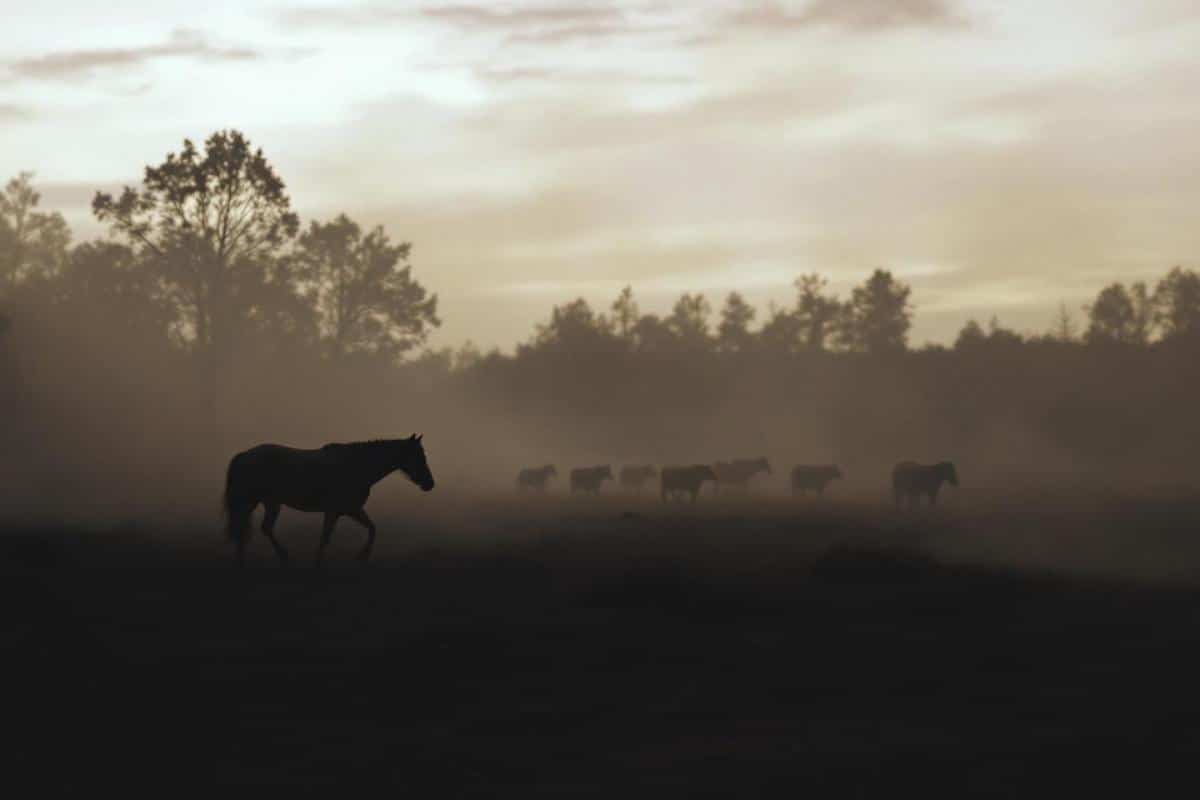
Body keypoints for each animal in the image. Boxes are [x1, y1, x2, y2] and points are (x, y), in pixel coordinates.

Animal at [222, 435, 435, 565]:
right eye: (418, 456)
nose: (429, 484)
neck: (357, 465)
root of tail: (243, 455)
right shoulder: (335, 511)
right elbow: (326, 538)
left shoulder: (351, 510)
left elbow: (372, 528)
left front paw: (361, 557)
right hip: (256, 502)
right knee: (252, 528)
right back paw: (279, 557)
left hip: (266, 503)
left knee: (254, 528)